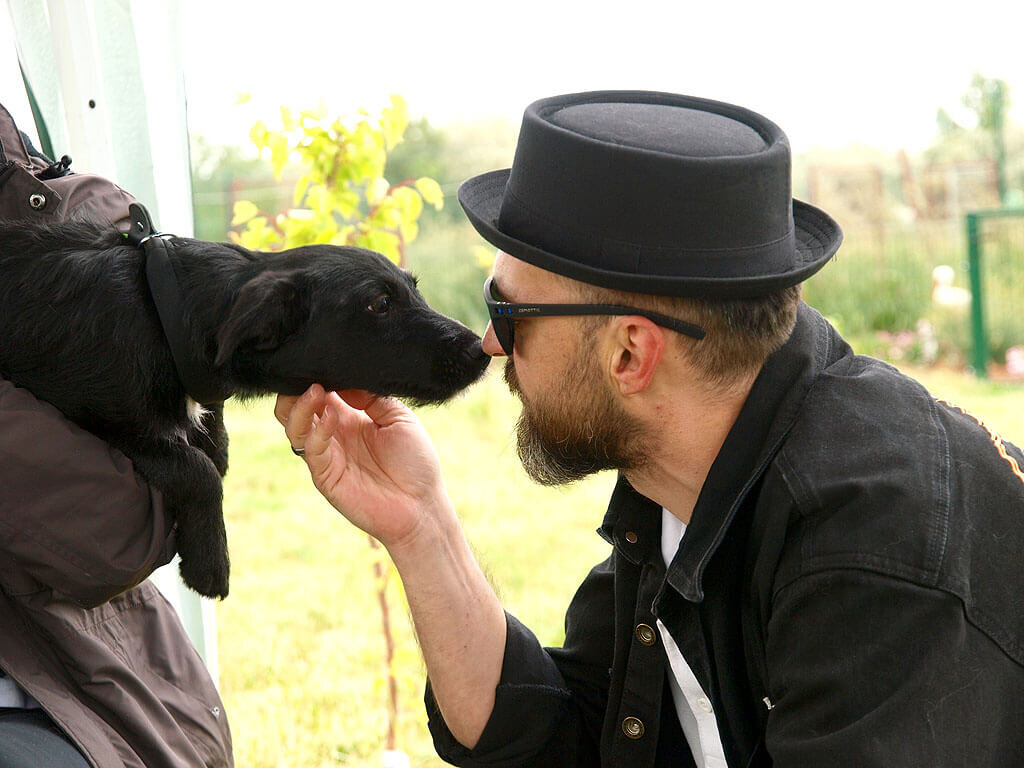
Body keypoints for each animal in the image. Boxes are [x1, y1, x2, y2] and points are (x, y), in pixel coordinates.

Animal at [0, 219, 491, 598]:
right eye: (381, 303)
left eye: (413, 290)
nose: (481, 350)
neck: (160, 315)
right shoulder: (104, 422)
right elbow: (198, 469)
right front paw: (210, 563)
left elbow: (213, 451)